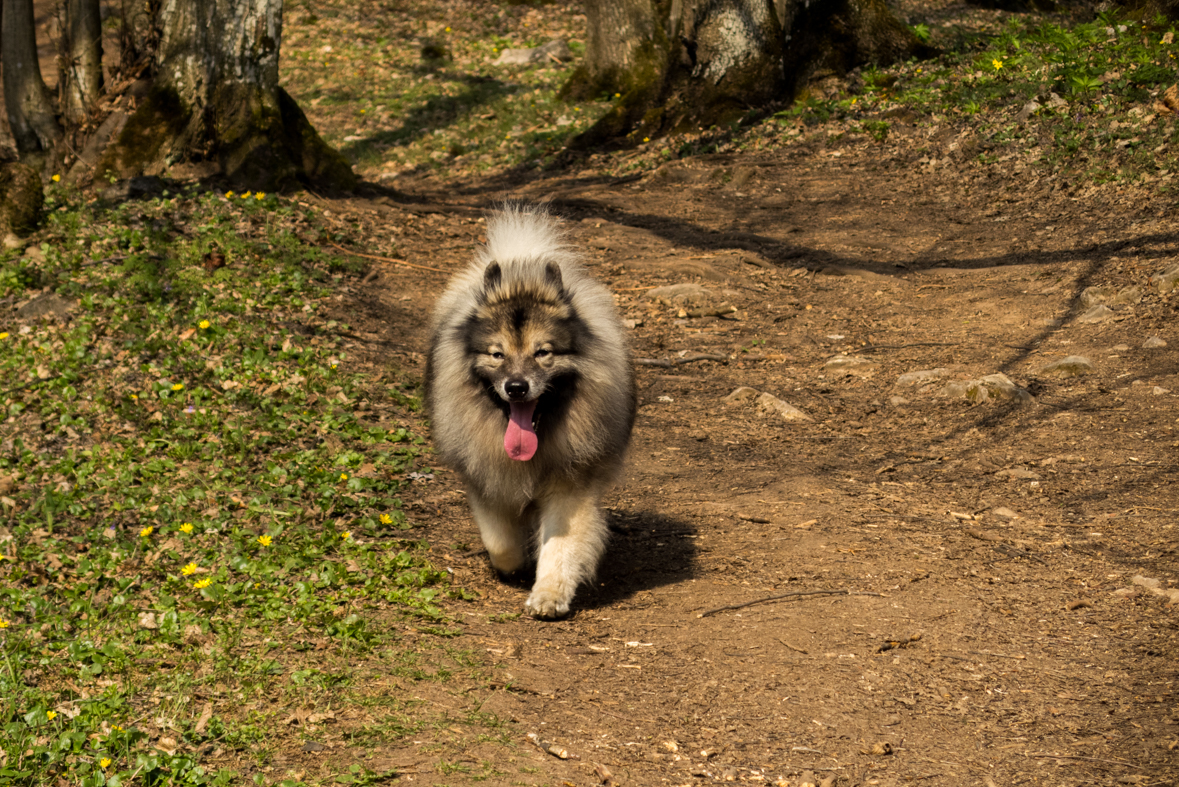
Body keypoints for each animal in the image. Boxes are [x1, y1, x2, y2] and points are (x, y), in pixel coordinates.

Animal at [426, 206, 636, 617]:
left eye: (543, 352)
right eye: (497, 354)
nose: (517, 387)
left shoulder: (570, 483)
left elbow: (561, 545)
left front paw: (549, 594)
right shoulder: (486, 477)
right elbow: (499, 542)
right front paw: (515, 566)